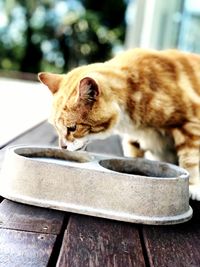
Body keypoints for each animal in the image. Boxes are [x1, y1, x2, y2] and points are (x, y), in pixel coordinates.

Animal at [38, 48, 200, 201]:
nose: (62, 147)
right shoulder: (134, 138)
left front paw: (193, 186)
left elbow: (190, 159)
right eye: (56, 128)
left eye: (72, 128)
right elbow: (133, 156)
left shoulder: (189, 125)